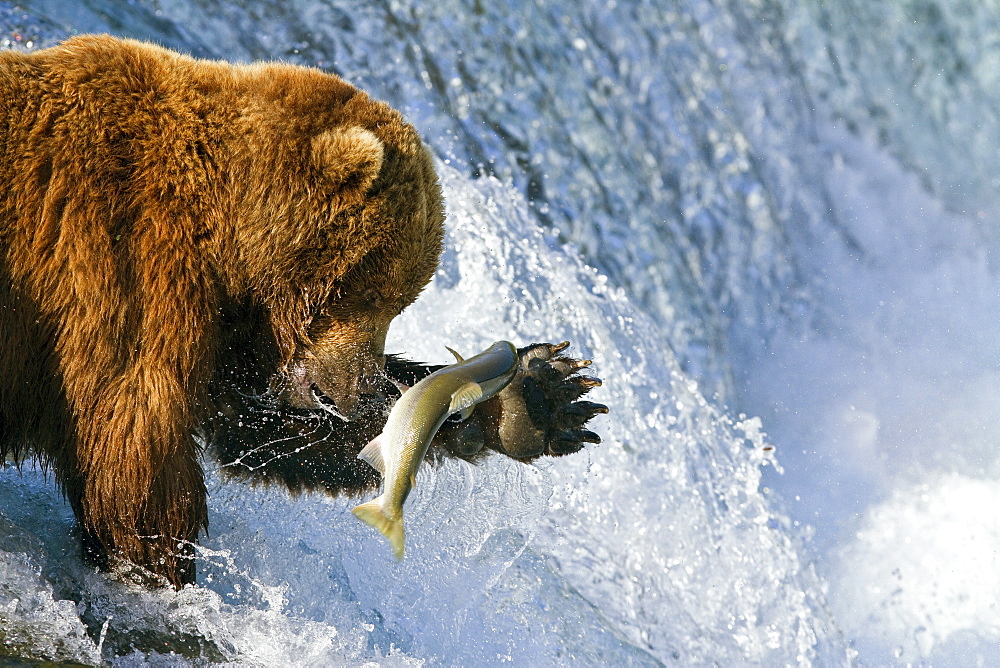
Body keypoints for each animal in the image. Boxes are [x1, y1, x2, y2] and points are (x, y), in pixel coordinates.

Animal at [0, 34, 600, 588]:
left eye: (402, 301)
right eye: (374, 292)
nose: (364, 387)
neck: (228, 229)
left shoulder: (234, 327)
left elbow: (260, 429)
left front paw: (539, 394)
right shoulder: (127, 266)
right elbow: (136, 454)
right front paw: (163, 571)